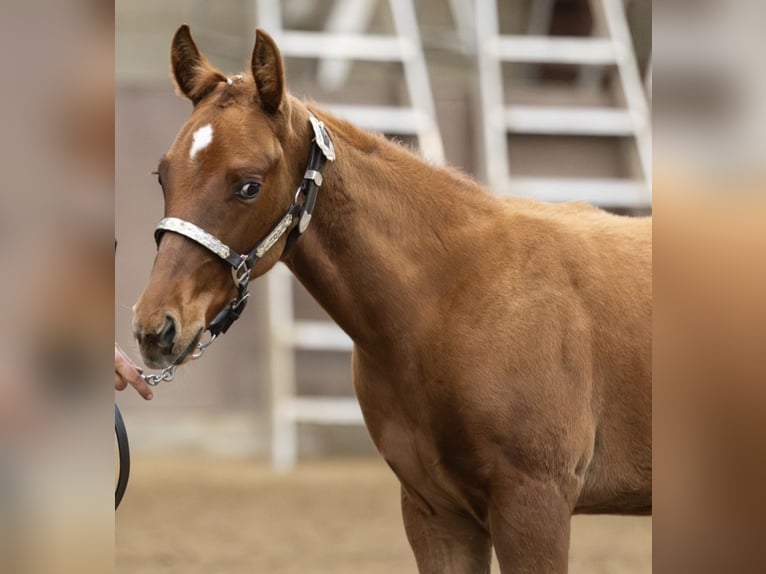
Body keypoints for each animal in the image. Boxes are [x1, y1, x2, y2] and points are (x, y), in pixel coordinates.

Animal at [134, 25, 656, 572]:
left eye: (249, 186)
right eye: (163, 175)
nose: (156, 329)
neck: (450, 299)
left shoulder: (535, 504)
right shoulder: (437, 514)